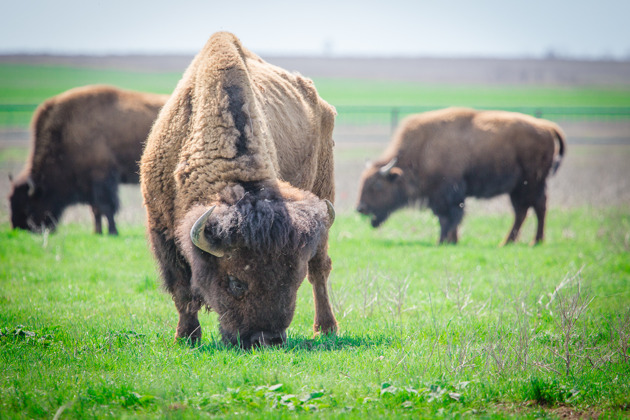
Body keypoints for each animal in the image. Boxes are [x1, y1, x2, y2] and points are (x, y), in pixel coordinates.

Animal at [8, 84, 167, 236]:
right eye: (11, 201)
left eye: (28, 206)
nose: (20, 228)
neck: (66, 133)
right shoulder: (90, 186)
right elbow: (96, 210)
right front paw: (97, 232)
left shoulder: (102, 179)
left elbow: (107, 207)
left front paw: (113, 232)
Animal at [142, 32, 340, 348]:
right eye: (235, 282)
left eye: (292, 281)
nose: (266, 339)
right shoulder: (161, 228)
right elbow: (182, 289)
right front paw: (186, 337)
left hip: (324, 195)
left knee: (320, 268)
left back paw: (326, 328)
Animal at [358, 108, 572, 244]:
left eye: (377, 186)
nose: (360, 208)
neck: (424, 149)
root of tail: (546, 127)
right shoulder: (442, 197)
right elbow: (446, 218)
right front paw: (450, 240)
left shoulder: (448, 194)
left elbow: (449, 217)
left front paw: (445, 241)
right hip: (519, 188)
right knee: (523, 211)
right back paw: (509, 242)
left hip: (531, 184)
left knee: (537, 207)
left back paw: (534, 241)